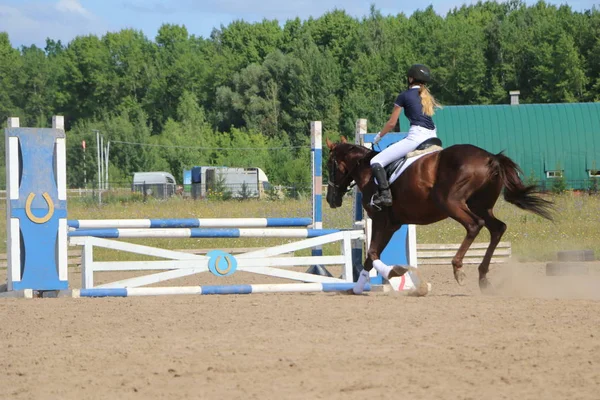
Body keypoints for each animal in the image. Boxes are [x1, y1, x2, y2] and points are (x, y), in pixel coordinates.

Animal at [326, 136, 556, 296]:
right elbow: (369, 257)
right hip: (480, 205)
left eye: (329, 166)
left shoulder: (383, 221)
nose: (331, 199)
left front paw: (393, 273)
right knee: (497, 229)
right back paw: (483, 278)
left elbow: (372, 253)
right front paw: (357, 288)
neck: (366, 170)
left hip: (449, 202)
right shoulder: (391, 224)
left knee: (474, 225)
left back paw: (458, 268)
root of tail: (491, 158)